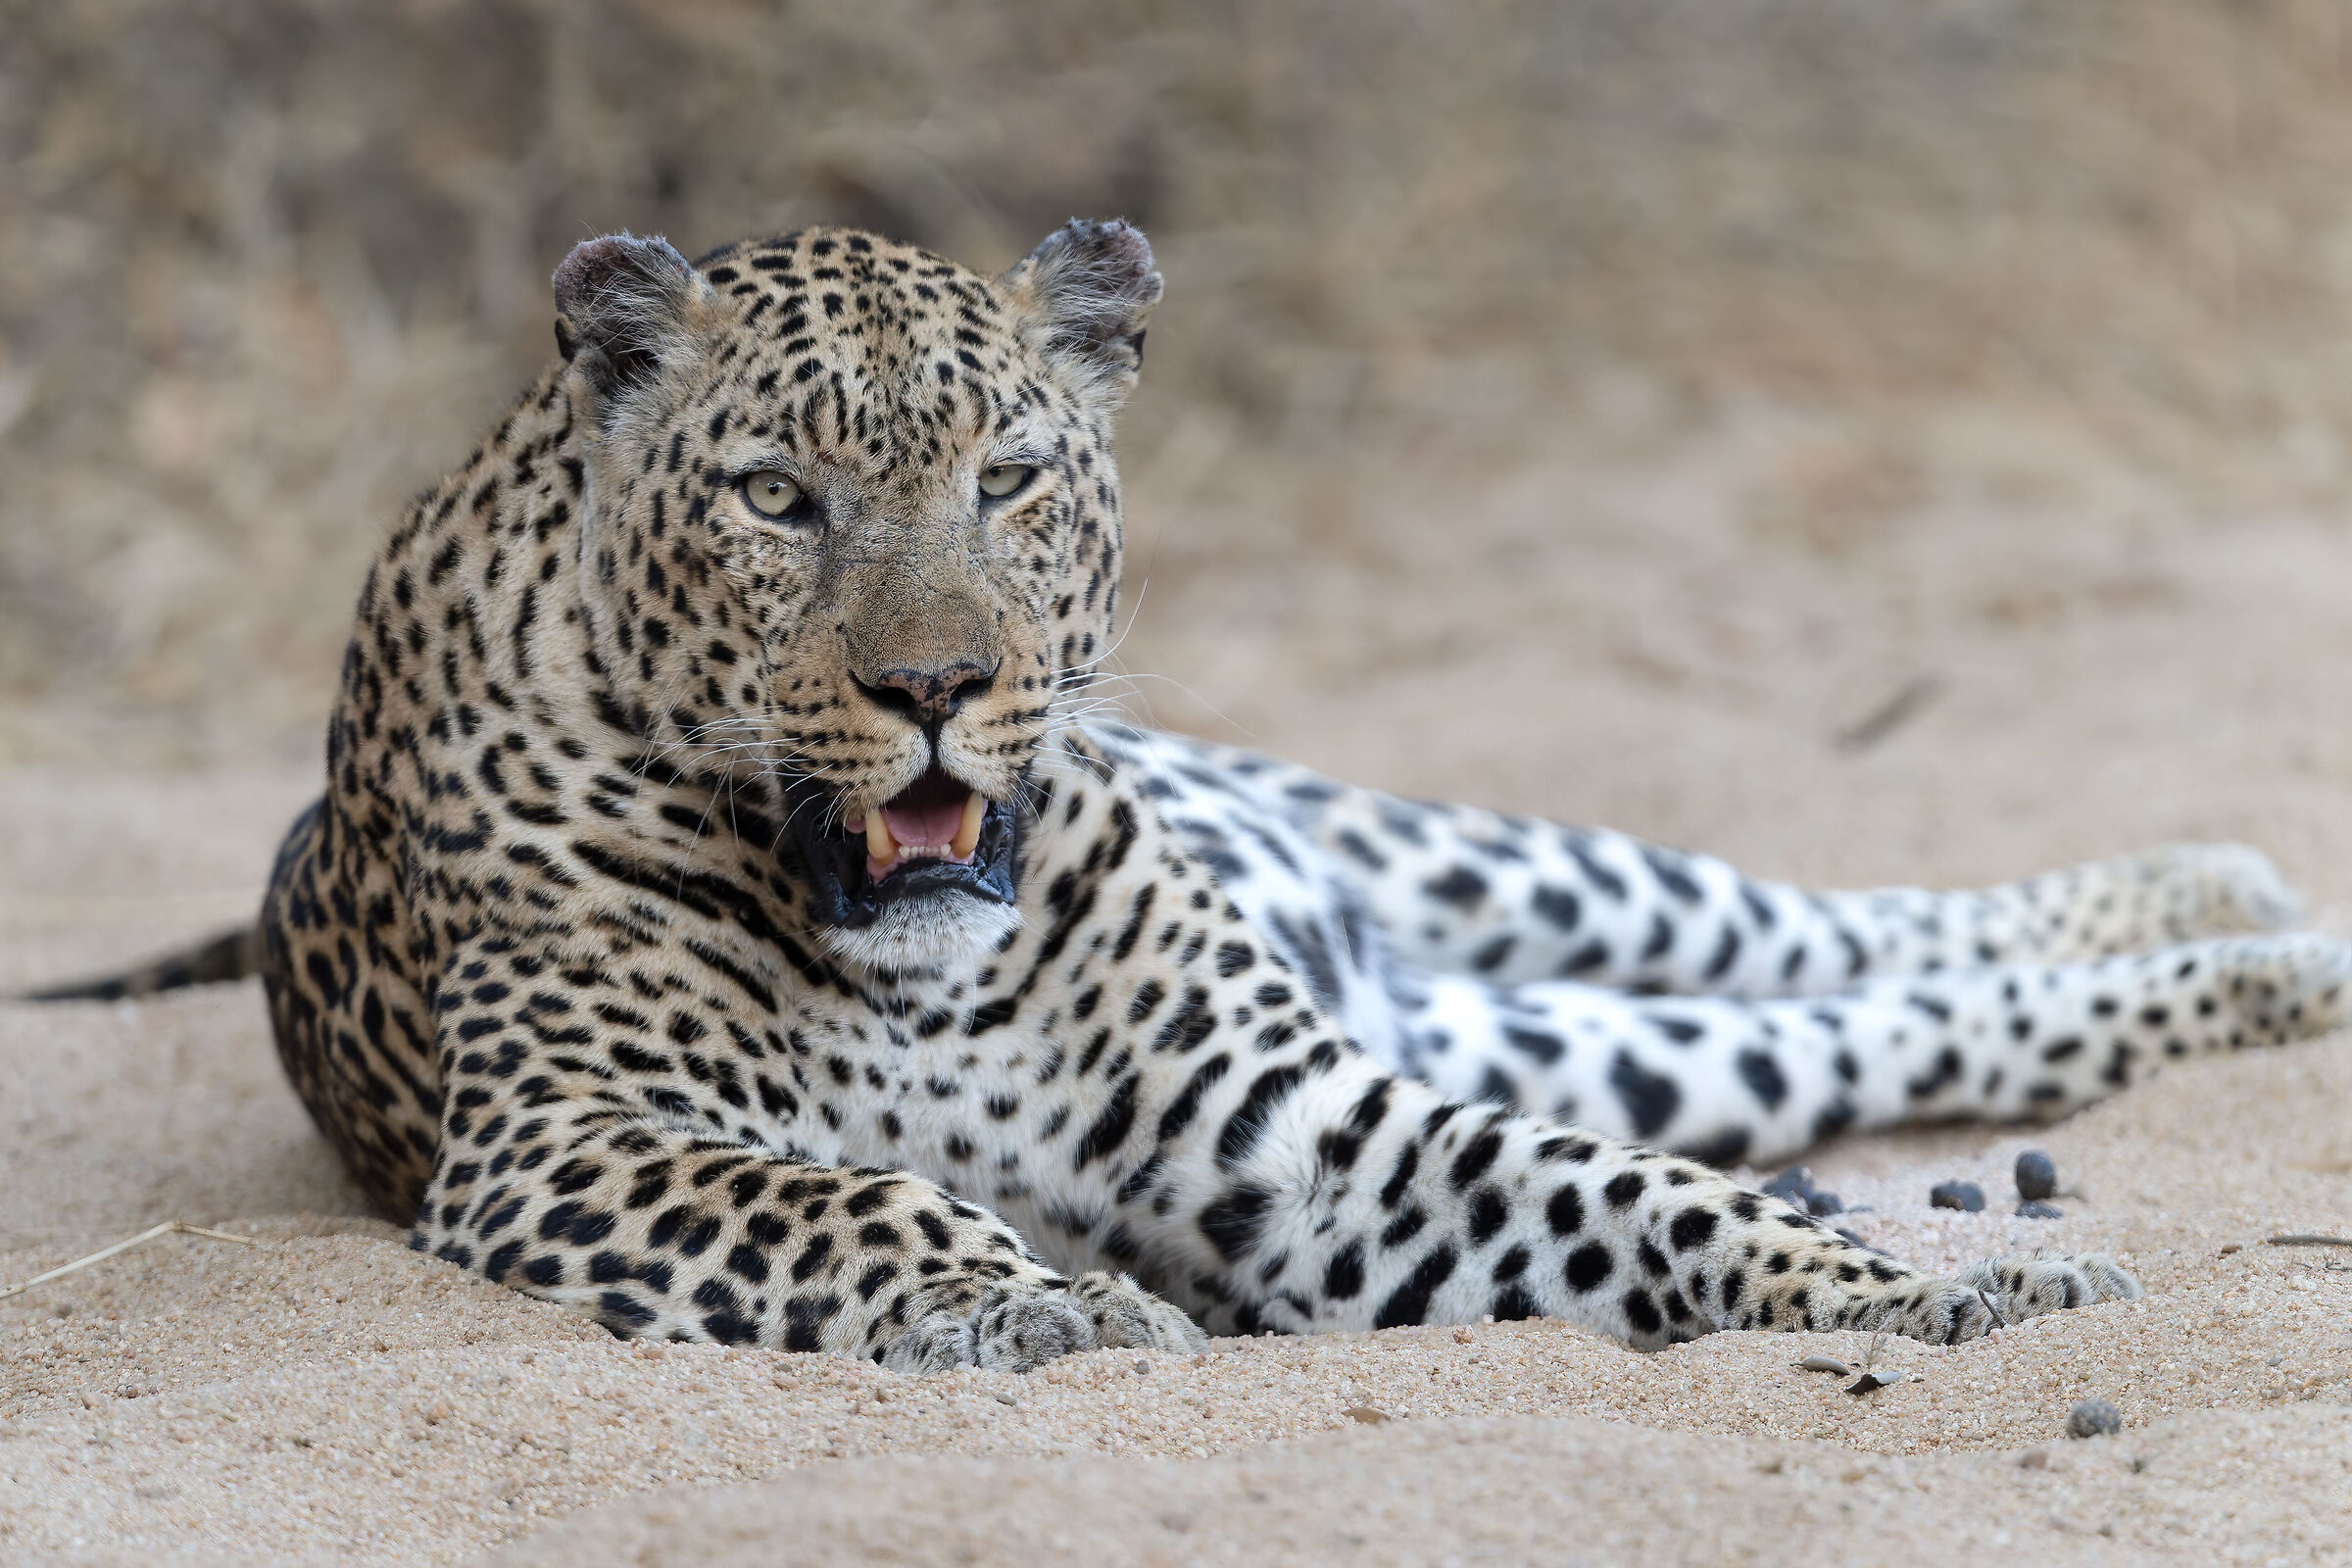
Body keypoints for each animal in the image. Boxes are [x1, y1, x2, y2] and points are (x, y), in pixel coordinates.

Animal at [35, 218, 2352, 1372]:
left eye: (1011, 476)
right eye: (779, 497)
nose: (939, 688)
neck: (916, 966)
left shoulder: (1294, 1122)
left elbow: (1644, 1198)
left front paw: (1916, 1286)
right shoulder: (567, 1141)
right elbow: (841, 1194)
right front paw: (1038, 1294)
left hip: (1512, 879)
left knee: (1861, 929)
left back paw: (2243, 912)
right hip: (1560, 1012)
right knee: (1888, 1025)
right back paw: (2269, 953)